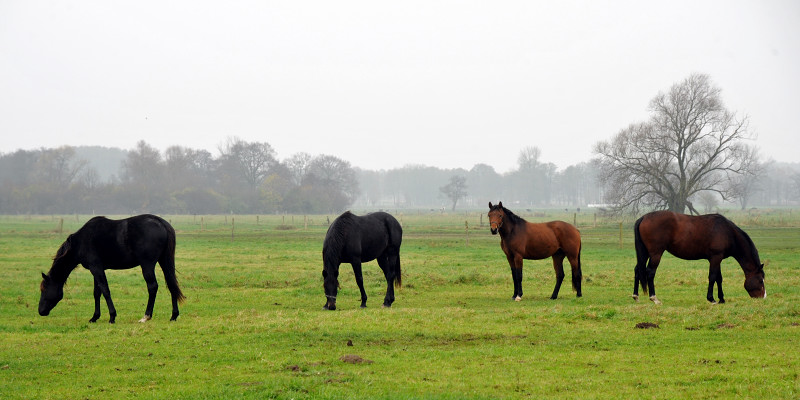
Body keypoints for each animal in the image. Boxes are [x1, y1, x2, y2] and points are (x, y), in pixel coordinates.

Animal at [39, 214, 187, 324]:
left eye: (44, 289)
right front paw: (94, 317)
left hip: (147, 265)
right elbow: (96, 293)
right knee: (171, 284)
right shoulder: (96, 270)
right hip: (165, 262)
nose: (40, 311)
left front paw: (112, 316)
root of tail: (161, 223)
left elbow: (105, 291)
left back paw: (146, 316)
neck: (80, 242)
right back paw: (174, 315)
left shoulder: (96, 268)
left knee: (152, 287)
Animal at [636, 209, 764, 304]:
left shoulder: (717, 258)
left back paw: (635, 296)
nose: (763, 297)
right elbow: (712, 277)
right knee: (650, 272)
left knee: (638, 270)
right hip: (656, 253)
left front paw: (721, 299)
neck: (727, 232)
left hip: (645, 253)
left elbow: (719, 278)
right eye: (760, 280)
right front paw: (711, 299)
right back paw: (654, 298)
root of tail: (644, 217)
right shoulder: (715, 257)